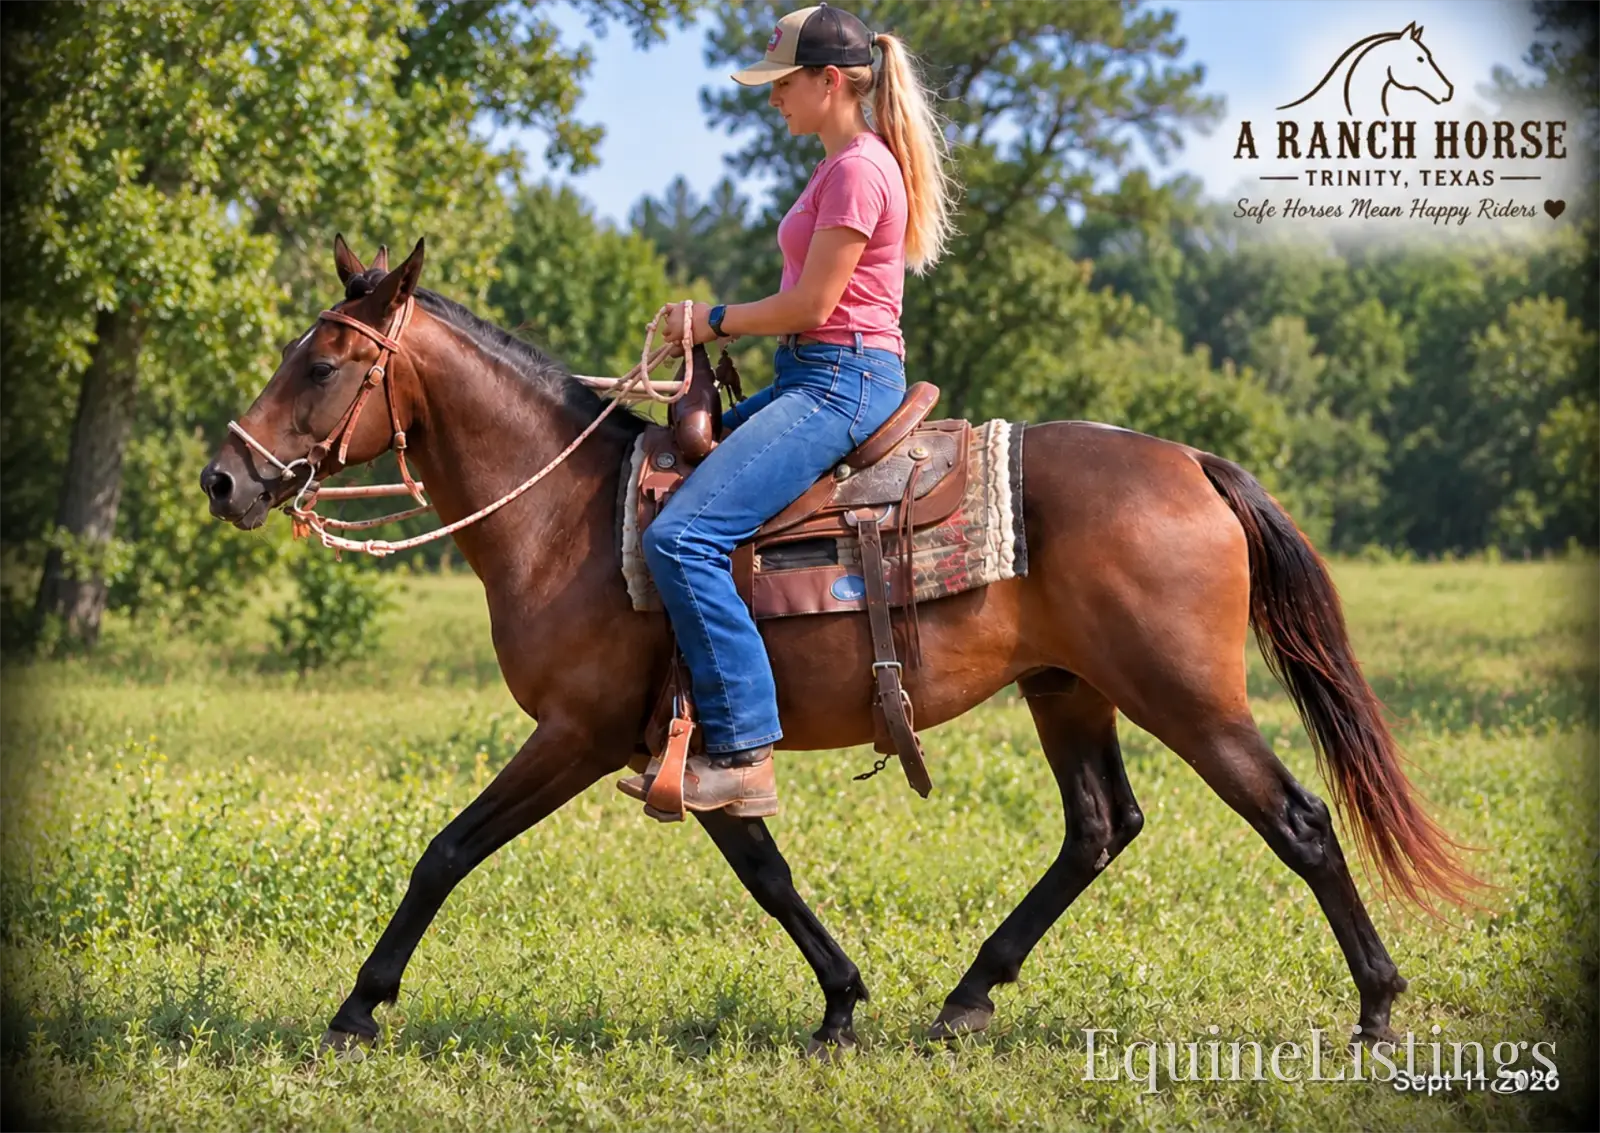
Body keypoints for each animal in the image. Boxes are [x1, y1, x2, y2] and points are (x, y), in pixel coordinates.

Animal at [200, 236, 1482, 1057]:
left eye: (323, 361)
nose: (224, 477)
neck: (566, 516)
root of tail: (1192, 463)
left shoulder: (578, 732)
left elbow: (445, 848)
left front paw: (358, 1007)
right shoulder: (696, 738)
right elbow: (765, 868)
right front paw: (842, 1000)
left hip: (1187, 696)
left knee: (1296, 819)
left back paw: (1376, 1004)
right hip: (1068, 688)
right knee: (1098, 827)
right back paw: (968, 995)